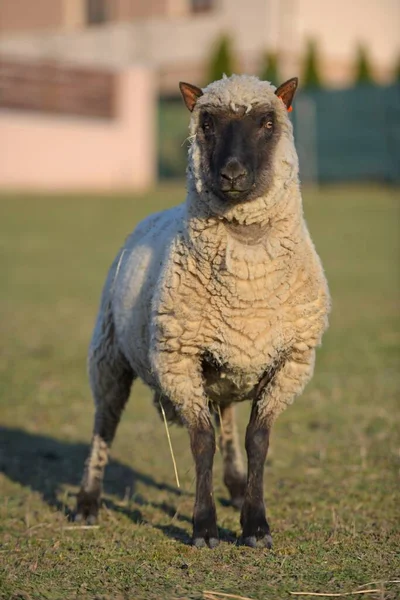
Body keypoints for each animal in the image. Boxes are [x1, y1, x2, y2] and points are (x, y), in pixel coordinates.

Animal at [76, 74, 332, 548]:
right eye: (207, 123)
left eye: (268, 122)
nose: (232, 173)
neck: (249, 281)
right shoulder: (179, 360)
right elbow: (202, 443)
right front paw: (204, 528)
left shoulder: (290, 364)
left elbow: (257, 441)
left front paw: (255, 525)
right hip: (109, 353)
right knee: (105, 422)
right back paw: (86, 502)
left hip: (225, 369)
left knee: (227, 418)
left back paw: (234, 486)